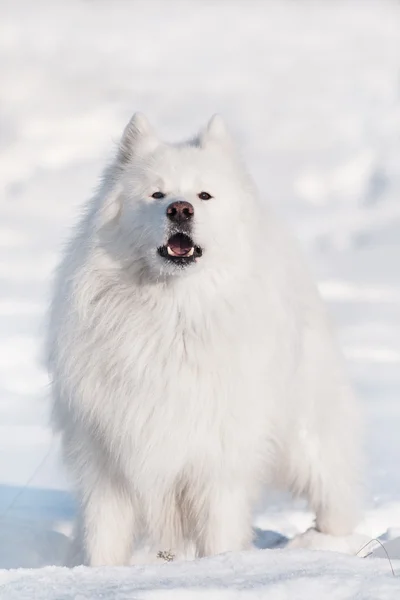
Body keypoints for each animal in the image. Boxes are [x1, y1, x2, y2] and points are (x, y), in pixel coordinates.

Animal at [47, 113, 362, 568]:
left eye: (204, 195)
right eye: (157, 193)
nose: (180, 208)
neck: (172, 314)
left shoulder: (218, 458)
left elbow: (219, 532)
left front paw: (221, 567)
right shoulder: (107, 458)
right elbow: (103, 536)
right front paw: (99, 574)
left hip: (307, 438)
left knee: (334, 489)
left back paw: (329, 544)